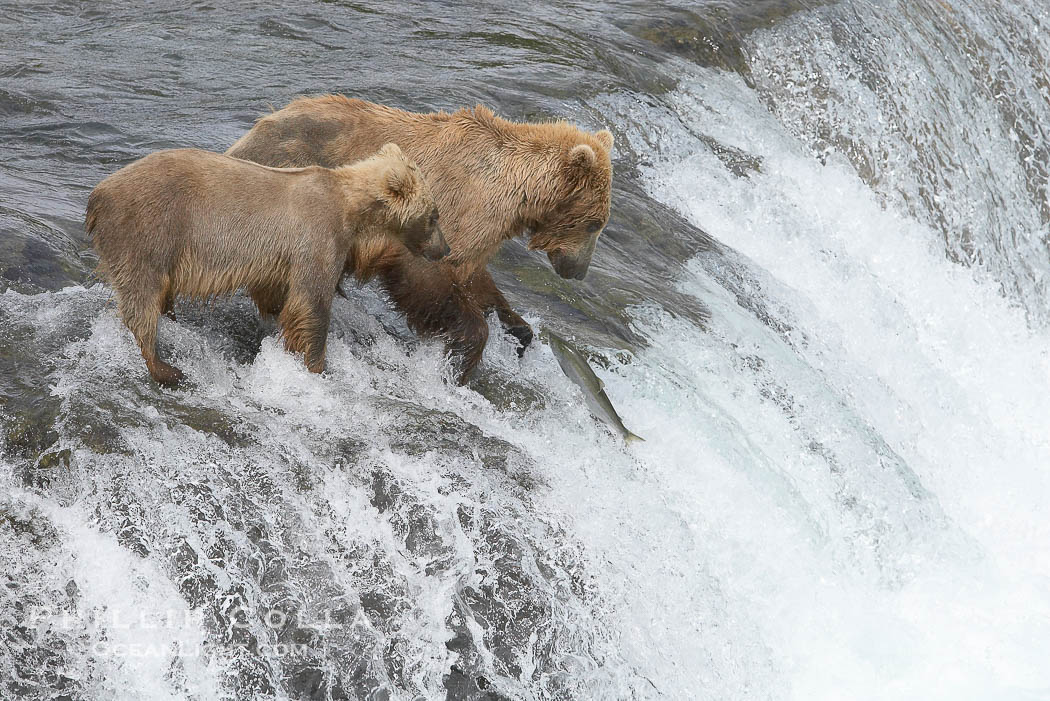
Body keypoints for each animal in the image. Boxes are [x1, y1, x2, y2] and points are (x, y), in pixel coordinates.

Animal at [87, 143, 448, 386]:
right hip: (149, 230)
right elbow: (311, 302)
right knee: (142, 295)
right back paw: (164, 365)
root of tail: (98, 193)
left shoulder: (281, 258)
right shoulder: (318, 236)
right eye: (434, 216)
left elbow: (277, 296)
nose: (444, 250)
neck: (353, 209)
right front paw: (315, 364)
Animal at [226, 96, 614, 383]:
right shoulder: (445, 212)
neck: (514, 192)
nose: (577, 270)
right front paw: (462, 360)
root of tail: (251, 133)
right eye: (594, 224)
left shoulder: (478, 233)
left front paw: (519, 331)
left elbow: (476, 278)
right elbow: (428, 277)